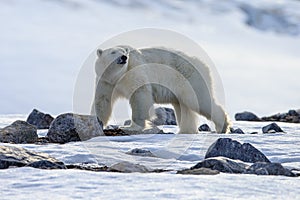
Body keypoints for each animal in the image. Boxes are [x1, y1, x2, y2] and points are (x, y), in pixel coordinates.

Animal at [92, 45, 231, 133]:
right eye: (113, 52)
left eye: (125, 52)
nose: (123, 57)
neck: (118, 76)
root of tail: (204, 65)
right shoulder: (105, 81)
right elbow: (102, 101)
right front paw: (98, 123)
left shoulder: (134, 72)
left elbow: (140, 95)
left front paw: (131, 127)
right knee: (184, 107)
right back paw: (186, 130)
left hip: (190, 79)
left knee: (200, 101)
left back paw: (223, 126)